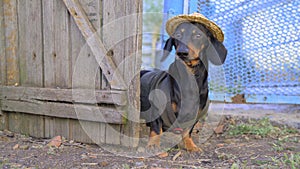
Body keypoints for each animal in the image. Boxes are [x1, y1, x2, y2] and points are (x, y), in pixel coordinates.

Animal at [141, 21, 227, 152]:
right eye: (178, 35)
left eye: (198, 35)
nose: (182, 52)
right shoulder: (158, 109)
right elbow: (156, 129)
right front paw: (153, 145)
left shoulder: (195, 115)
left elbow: (187, 131)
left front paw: (190, 146)